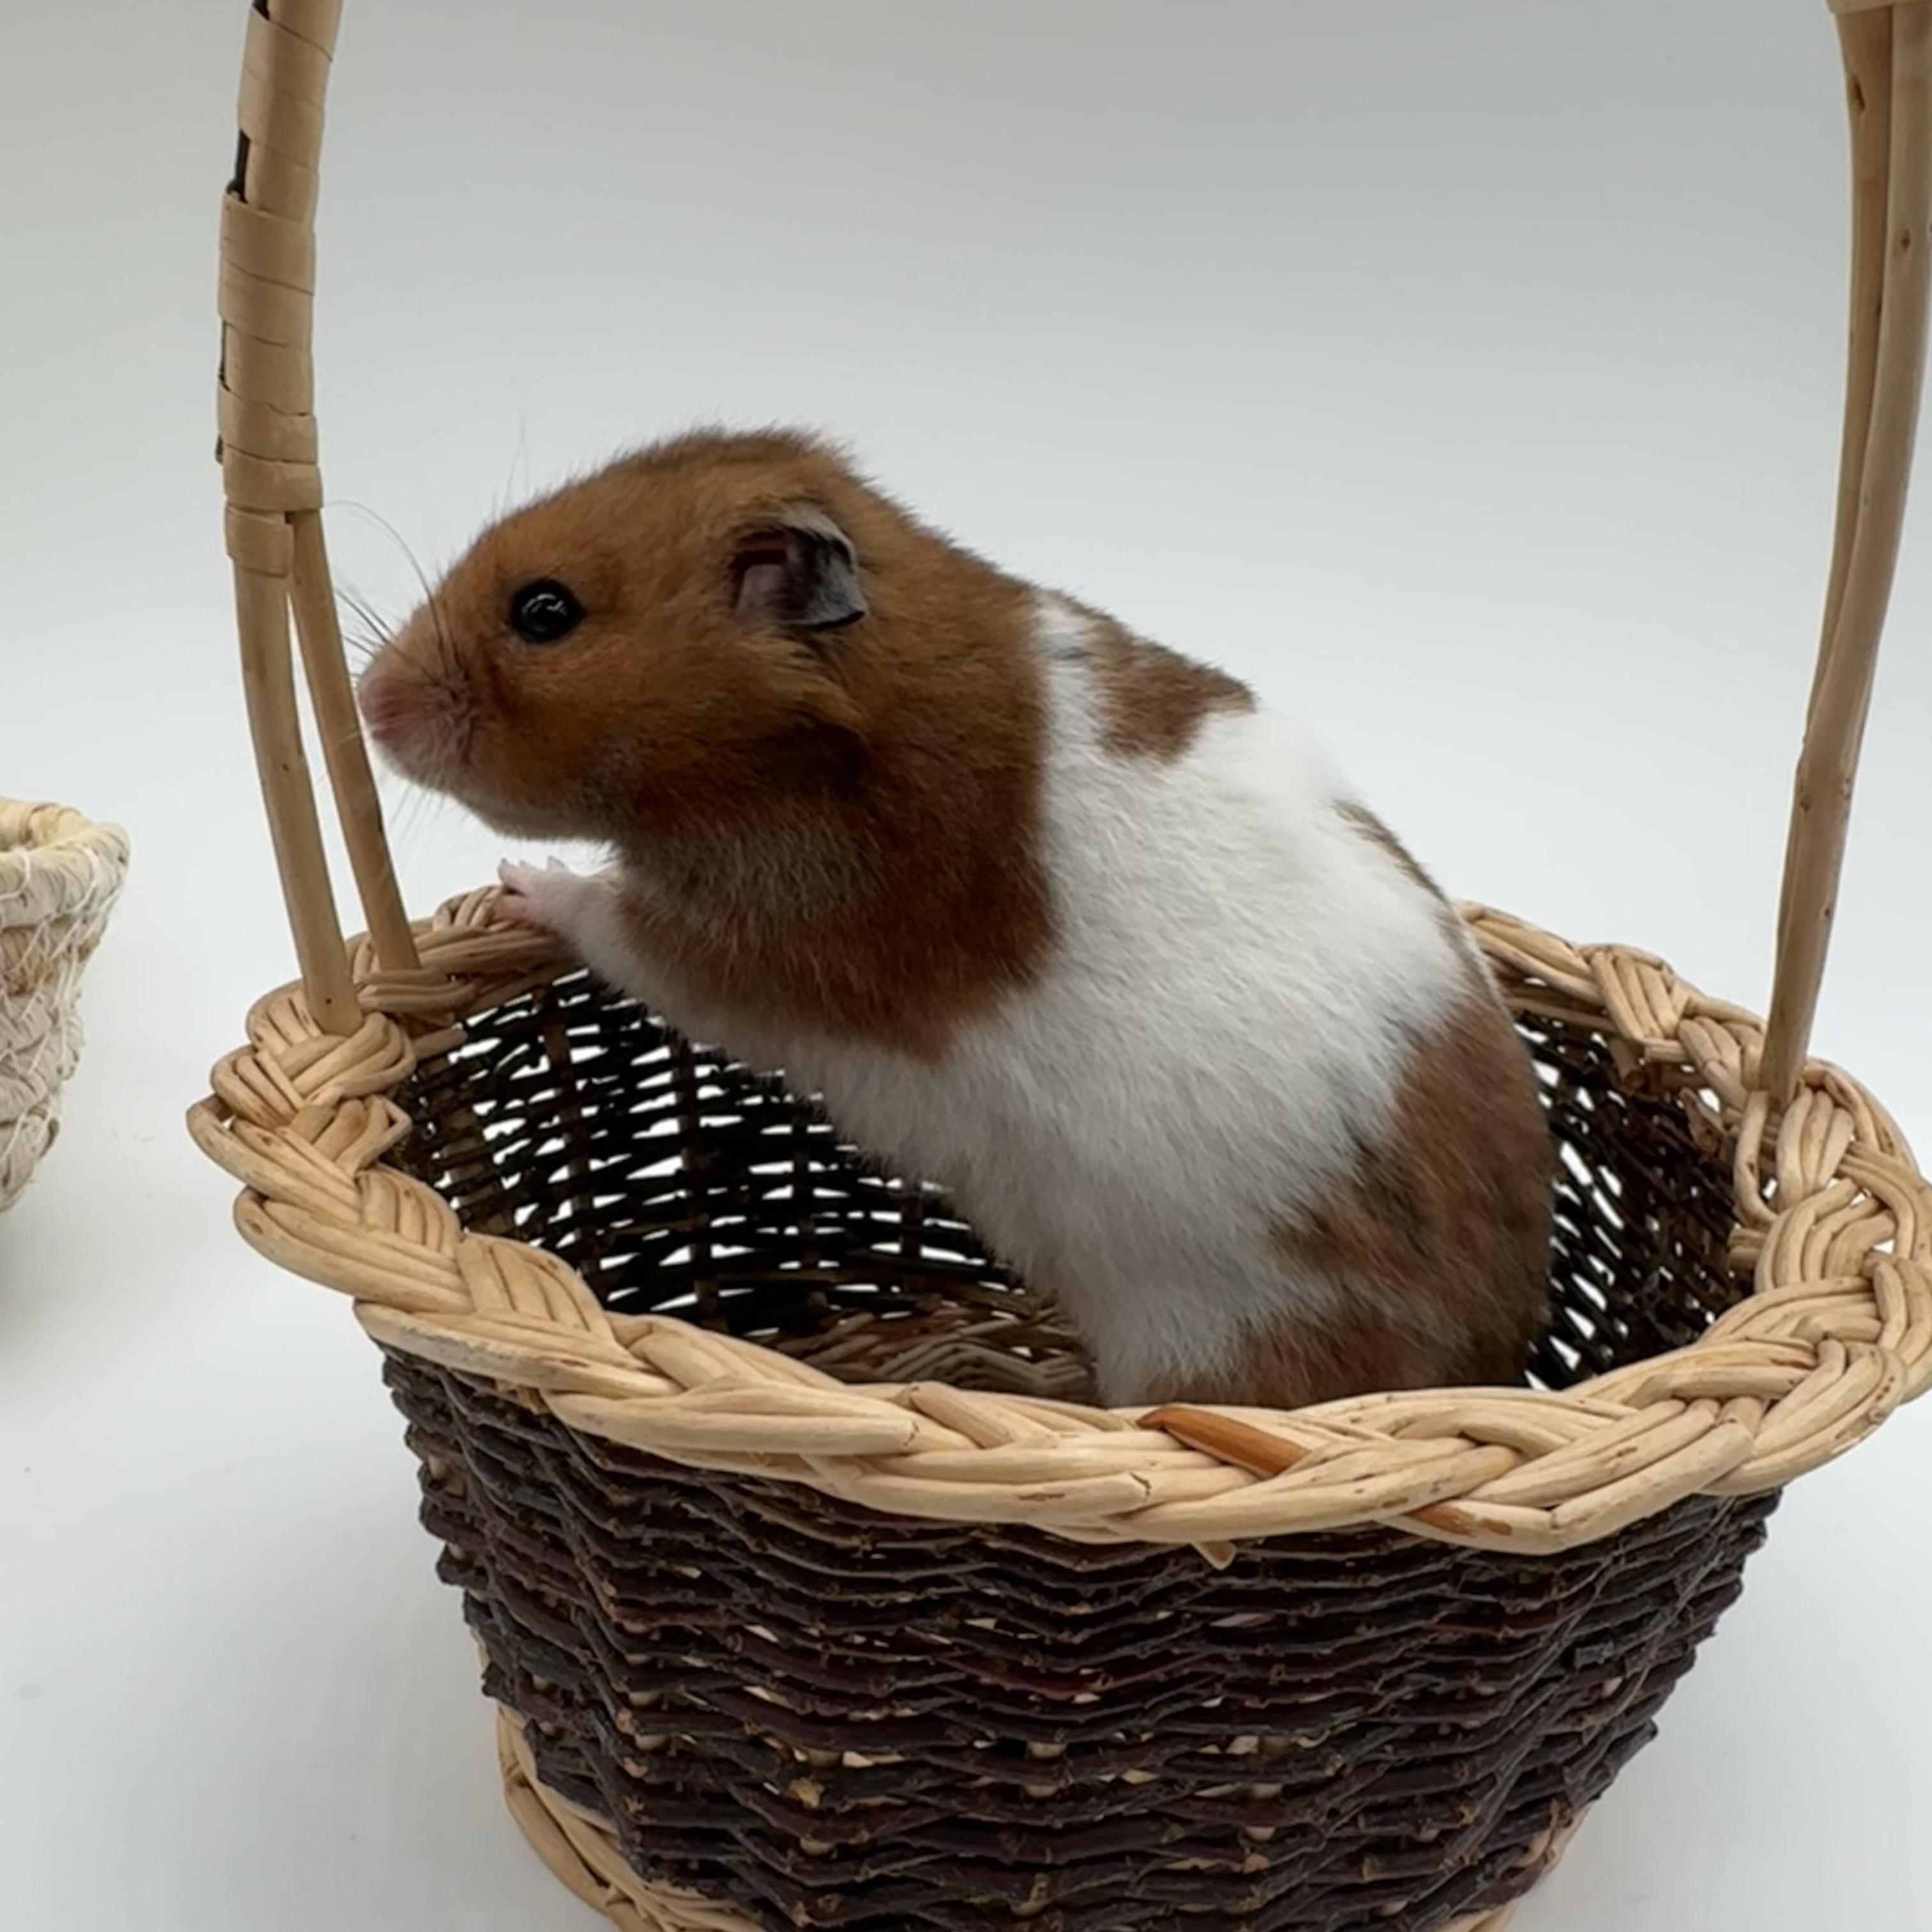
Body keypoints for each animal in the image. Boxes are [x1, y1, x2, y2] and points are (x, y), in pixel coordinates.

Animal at [357, 428, 1553, 1411]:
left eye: (544, 613)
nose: (368, 704)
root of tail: (1493, 1361)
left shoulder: (743, 940)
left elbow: (608, 917)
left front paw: (519, 880)